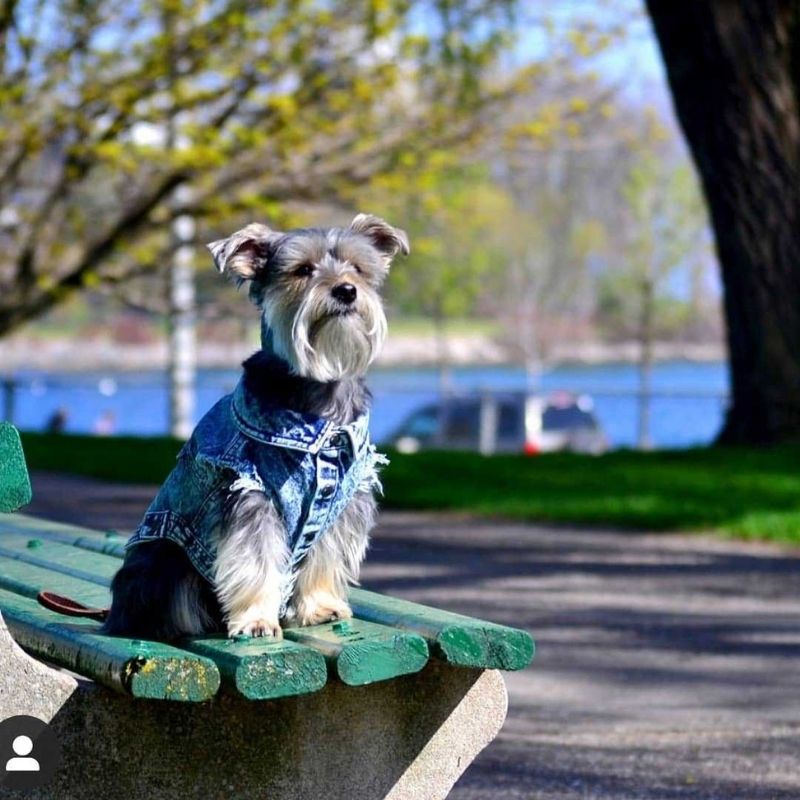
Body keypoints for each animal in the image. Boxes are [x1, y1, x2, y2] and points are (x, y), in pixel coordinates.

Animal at [103, 212, 410, 636]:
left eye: (358, 268)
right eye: (303, 270)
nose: (347, 290)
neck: (318, 392)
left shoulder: (343, 498)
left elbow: (325, 555)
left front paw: (319, 606)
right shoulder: (250, 493)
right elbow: (255, 561)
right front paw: (256, 620)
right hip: (162, 560)